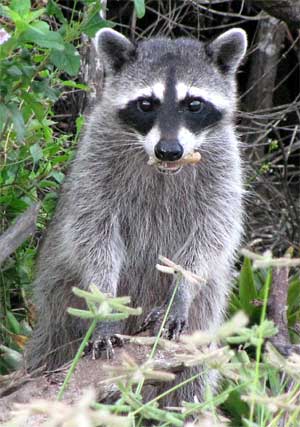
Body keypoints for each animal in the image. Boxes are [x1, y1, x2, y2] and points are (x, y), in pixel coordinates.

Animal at [25, 27, 246, 404]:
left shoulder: (225, 165)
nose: (169, 150)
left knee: (191, 378)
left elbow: (210, 235)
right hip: (59, 296)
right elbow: (92, 233)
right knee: (54, 343)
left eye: (194, 104)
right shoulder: (96, 160)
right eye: (146, 104)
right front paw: (105, 303)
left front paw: (180, 292)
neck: (163, 167)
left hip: (207, 310)